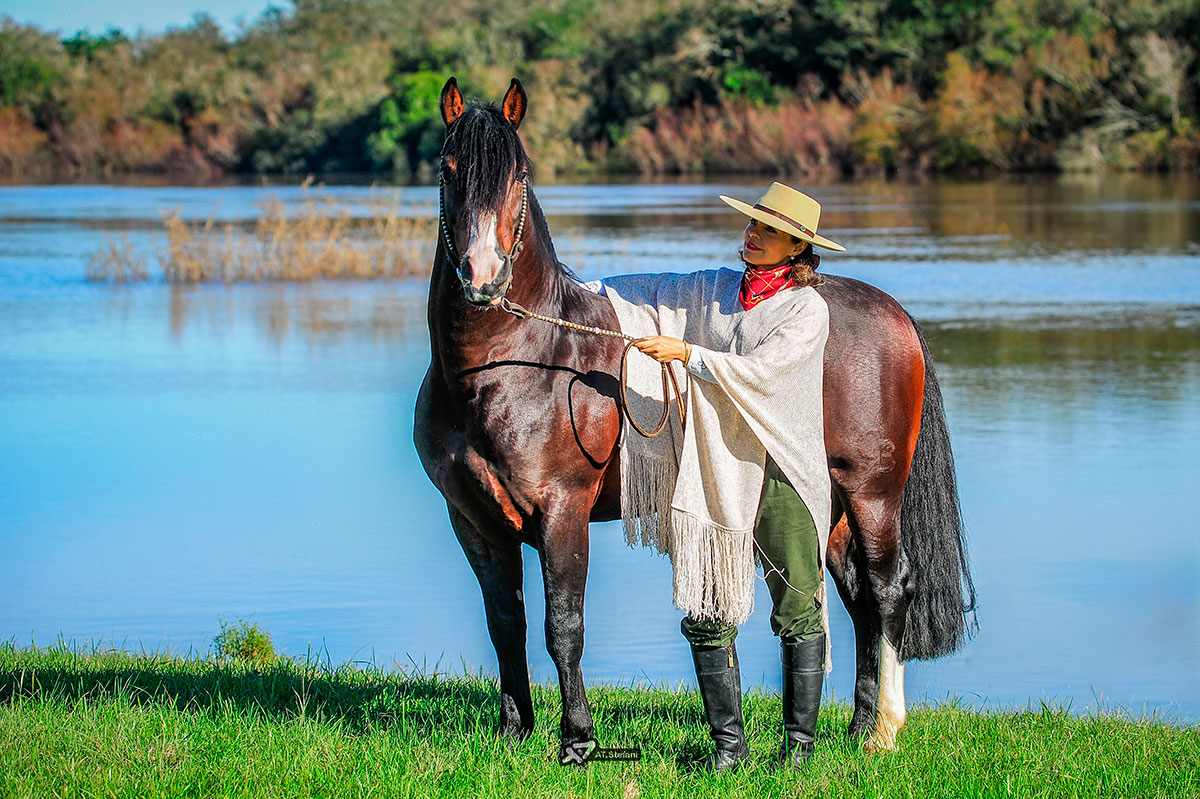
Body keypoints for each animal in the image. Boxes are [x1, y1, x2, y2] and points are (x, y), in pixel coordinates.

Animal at [412, 77, 974, 763]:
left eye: (519, 173)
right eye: (448, 168)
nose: (483, 278)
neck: (516, 364)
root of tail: (894, 314)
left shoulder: (561, 512)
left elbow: (563, 626)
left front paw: (577, 742)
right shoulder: (473, 520)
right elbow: (505, 625)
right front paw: (513, 732)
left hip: (873, 494)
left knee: (889, 590)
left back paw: (883, 731)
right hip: (829, 503)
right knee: (859, 599)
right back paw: (856, 726)